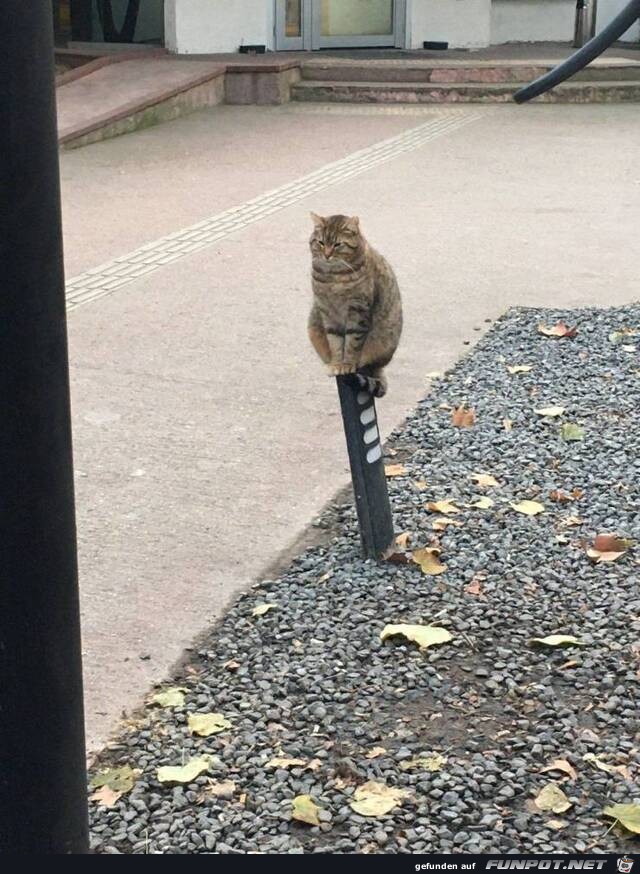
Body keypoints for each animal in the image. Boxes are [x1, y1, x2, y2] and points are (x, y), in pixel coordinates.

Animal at [308, 213, 402, 396]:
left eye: (337, 244)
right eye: (321, 242)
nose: (327, 255)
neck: (333, 277)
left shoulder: (358, 310)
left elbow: (352, 343)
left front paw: (347, 364)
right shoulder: (327, 311)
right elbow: (335, 343)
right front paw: (337, 364)